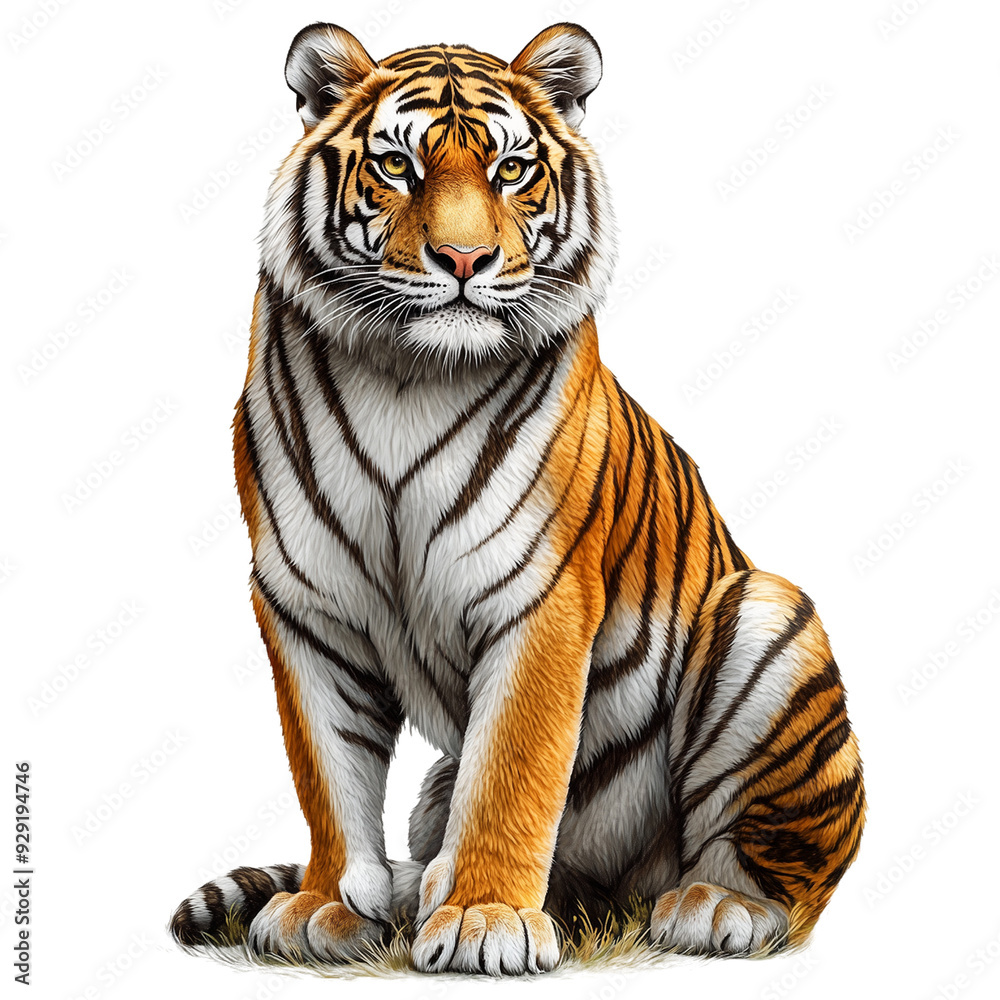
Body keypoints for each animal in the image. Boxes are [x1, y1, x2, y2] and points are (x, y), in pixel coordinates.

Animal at [169, 21, 865, 976]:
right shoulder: (306, 603)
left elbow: (511, 771)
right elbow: (328, 770)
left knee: (788, 878)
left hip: (767, 616)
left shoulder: (541, 596)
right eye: (398, 166)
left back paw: (717, 905)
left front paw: (482, 918)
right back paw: (414, 887)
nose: (465, 260)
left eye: (509, 168)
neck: (408, 375)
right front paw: (326, 904)